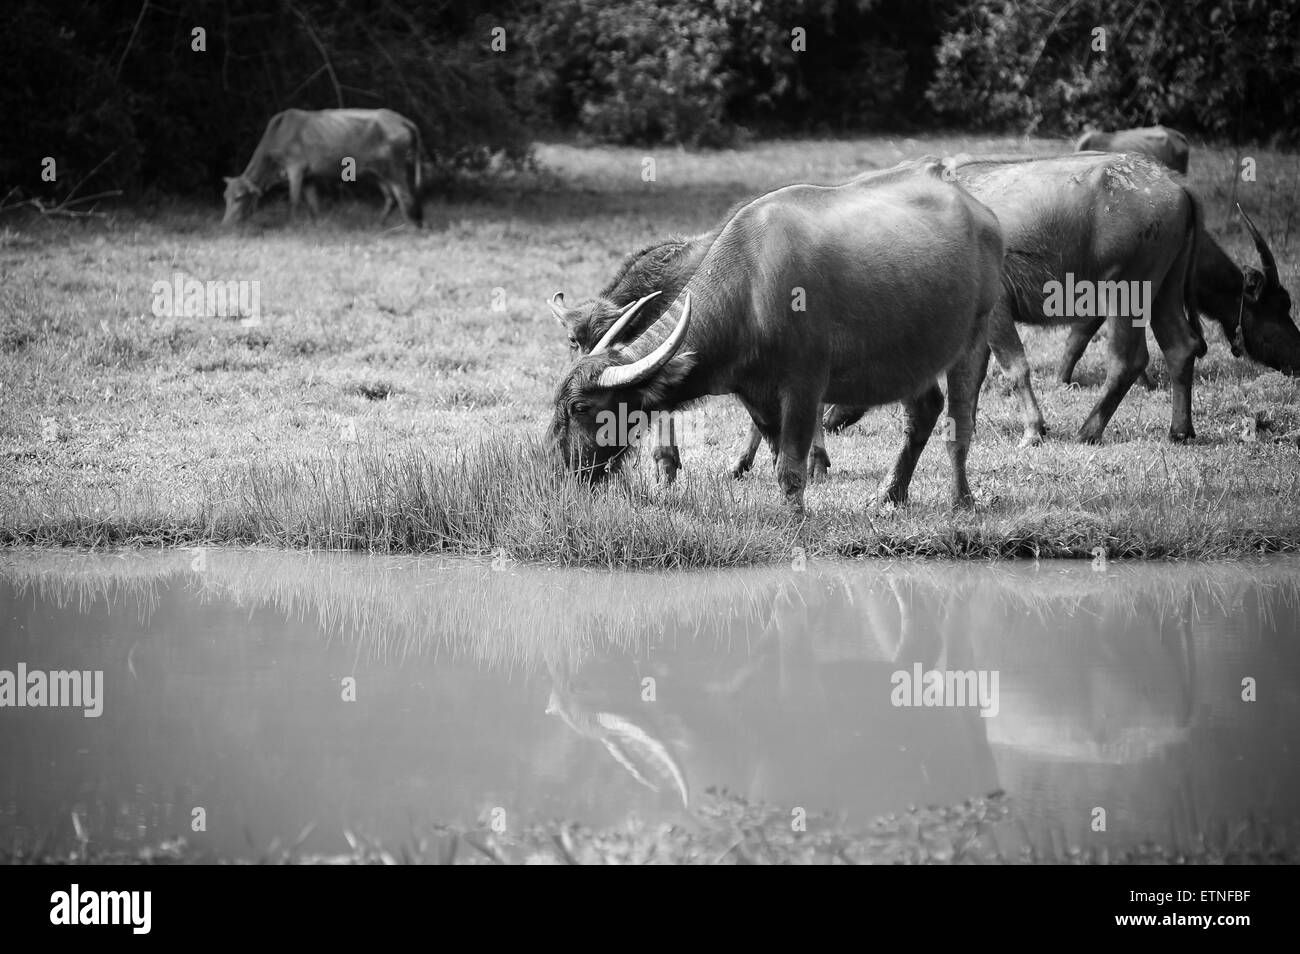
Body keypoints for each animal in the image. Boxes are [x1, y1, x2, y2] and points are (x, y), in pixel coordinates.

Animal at [222, 108, 421, 227]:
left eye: (239, 198)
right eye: (225, 197)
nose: (225, 224)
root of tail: (402, 119)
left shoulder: (295, 167)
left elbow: (294, 200)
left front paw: (291, 225)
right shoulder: (309, 176)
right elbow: (313, 204)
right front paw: (316, 226)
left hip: (395, 167)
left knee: (405, 195)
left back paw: (410, 228)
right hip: (379, 172)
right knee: (391, 198)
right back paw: (378, 224)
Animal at [548, 159, 1003, 512]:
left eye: (581, 408)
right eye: (571, 344)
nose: (563, 471)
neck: (750, 288)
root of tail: (982, 214)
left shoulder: (804, 385)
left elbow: (790, 467)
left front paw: (796, 518)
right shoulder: (757, 394)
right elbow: (776, 458)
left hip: (974, 336)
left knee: (959, 421)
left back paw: (962, 500)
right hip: (912, 354)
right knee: (923, 411)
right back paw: (890, 494)